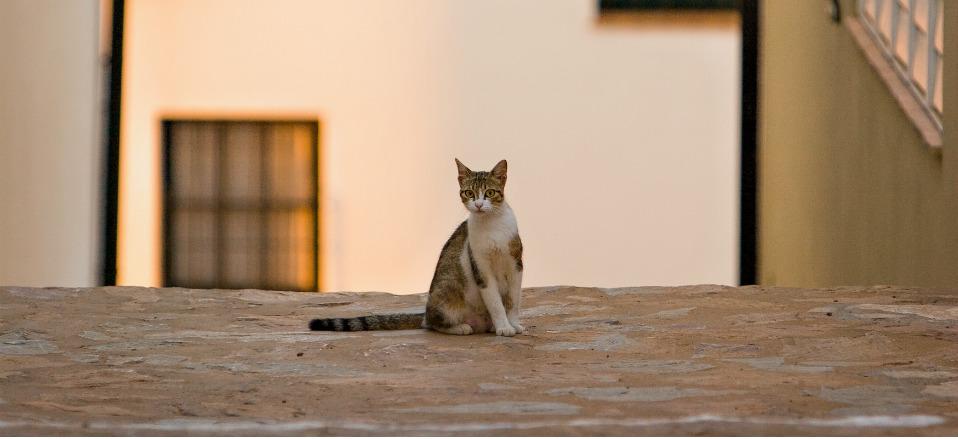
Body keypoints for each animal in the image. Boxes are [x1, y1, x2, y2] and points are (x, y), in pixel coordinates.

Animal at [312, 160, 524, 338]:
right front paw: (504, 327)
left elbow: (513, 300)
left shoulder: (516, 265)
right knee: (431, 323)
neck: (492, 225)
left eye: (490, 192)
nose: (479, 205)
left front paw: (512, 324)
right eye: (469, 193)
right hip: (446, 298)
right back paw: (461, 327)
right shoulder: (481, 269)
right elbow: (495, 303)